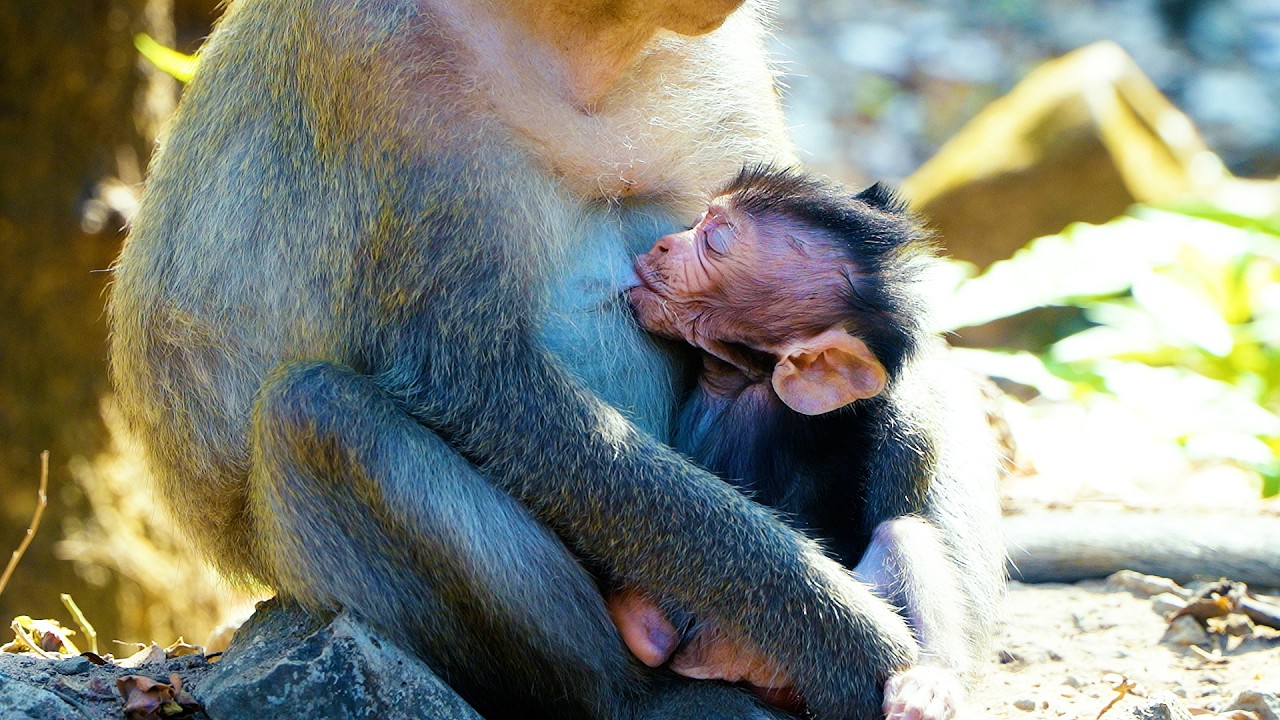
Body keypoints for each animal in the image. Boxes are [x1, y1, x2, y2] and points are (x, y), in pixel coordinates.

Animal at [606, 165, 1002, 720]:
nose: (664, 243)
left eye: (714, 240)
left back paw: (929, 680)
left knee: (902, 533)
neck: (748, 378)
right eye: (702, 219)